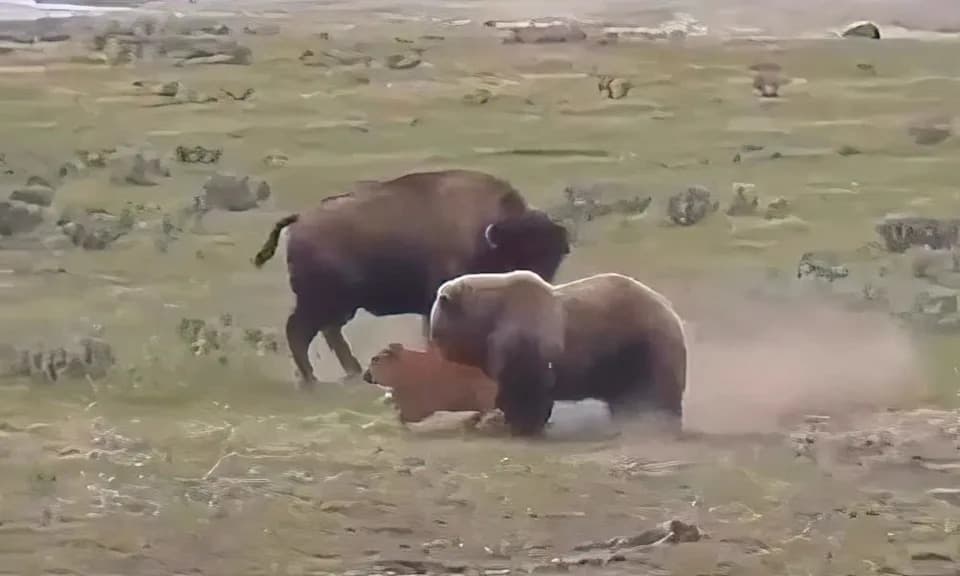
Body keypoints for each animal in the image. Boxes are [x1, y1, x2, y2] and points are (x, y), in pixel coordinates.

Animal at [253, 169, 571, 386]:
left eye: (552, 257)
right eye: (519, 254)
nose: (536, 285)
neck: (487, 235)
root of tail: (300, 220)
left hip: (339, 305)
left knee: (327, 333)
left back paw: (350, 373)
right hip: (321, 302)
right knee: (299, 331)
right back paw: (313, 379)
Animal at [428, 271, 687, 436]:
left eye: (436, 329)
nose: (436, 345)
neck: (489, 320)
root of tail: (670, 309)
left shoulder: (524, 334)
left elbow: (526, 383)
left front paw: (521, 424)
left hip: (644, 344)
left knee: (657, 389)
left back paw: (658, 421)